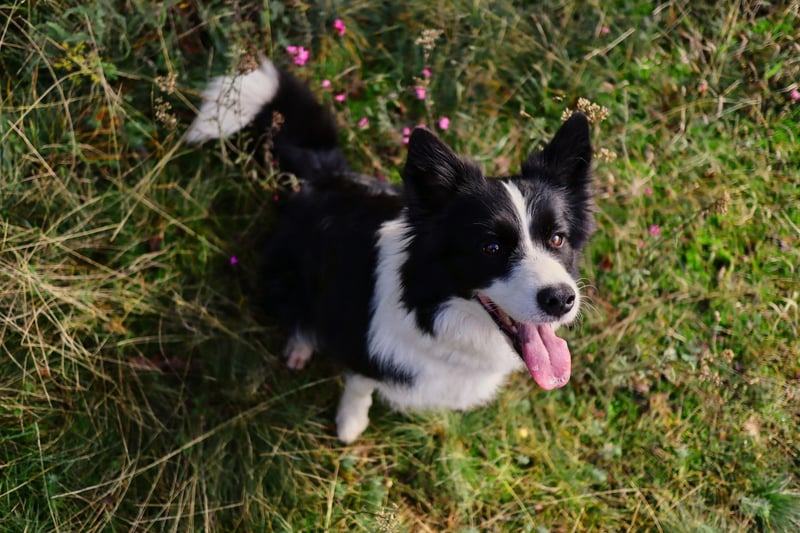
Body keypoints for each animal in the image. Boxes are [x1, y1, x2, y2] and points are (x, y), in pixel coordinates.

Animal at [184, 59, 592, 440]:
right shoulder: (364, 345)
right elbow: (360, 383)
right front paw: (350, 424)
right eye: (491, 247)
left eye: (557, 238)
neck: (433, 313)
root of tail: (327, 176)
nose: (561, 299)